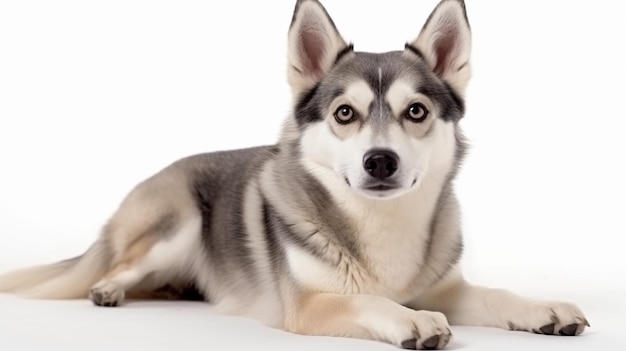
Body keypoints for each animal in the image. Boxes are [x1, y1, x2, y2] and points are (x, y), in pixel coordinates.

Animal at [0, 1, 584, 350]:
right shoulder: (309, 305)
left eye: (416, 111)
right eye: (344, 113)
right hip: (178, 221)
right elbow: (369, 300)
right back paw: (109, 289)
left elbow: (498, 294)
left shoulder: (444, 288)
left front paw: (543, 308)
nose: (380, 161)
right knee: (120, 265)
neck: (379, 228)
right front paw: (411, 319)